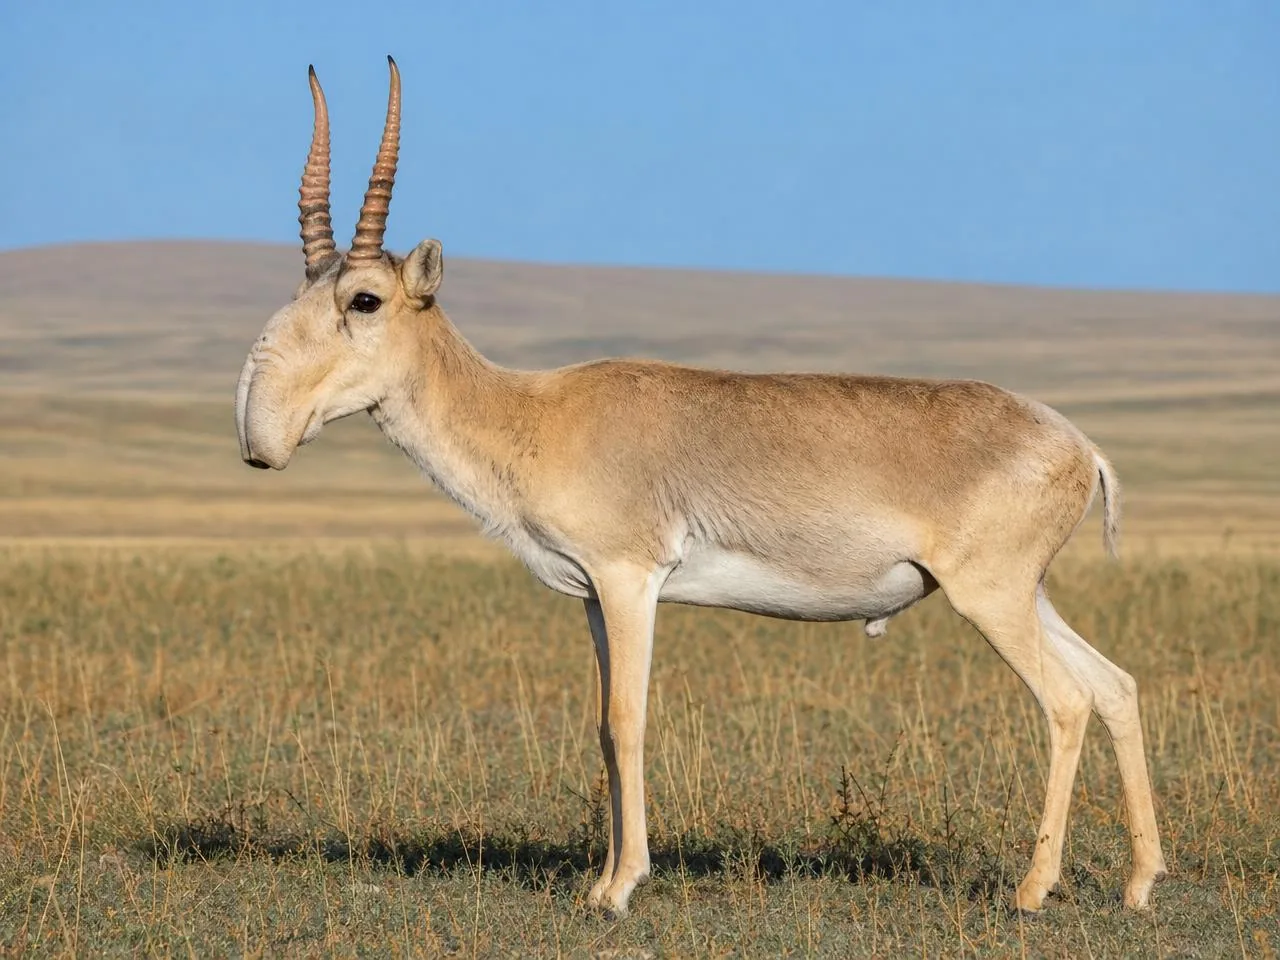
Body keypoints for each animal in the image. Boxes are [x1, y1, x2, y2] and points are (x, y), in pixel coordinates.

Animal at [235, 57, 1167, 918]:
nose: (258, 432)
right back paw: (1138, 884)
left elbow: (628, 721)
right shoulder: (590, 596)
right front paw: (599, 881)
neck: (534, 413)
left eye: (364, 299)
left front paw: (620, 889)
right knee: (1114, 685)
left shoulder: (629, 580)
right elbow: (602, 727)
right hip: (1023, 595)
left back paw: (1032, 890)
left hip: (992, 599)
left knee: (1068, 702)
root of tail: (1078, 445)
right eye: (301, 290)